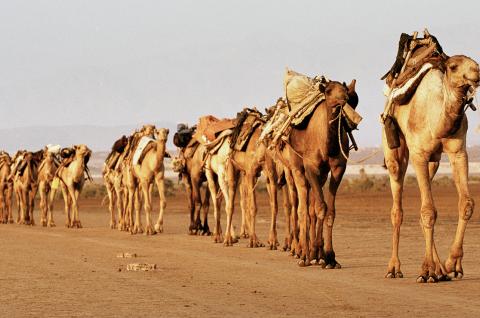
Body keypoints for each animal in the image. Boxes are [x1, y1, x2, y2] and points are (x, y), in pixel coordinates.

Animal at [380, 54, 478, 284]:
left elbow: (466, 204)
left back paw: (440, 270)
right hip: (394, 152)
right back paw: (394, 268)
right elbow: (428, 211)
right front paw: (426, 271)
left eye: (475, 62)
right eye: (453, 67)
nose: (477, 73)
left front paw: (452, 265)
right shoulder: (419, 154)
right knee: (397, 207)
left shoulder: (458, 151)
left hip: (434, 161)